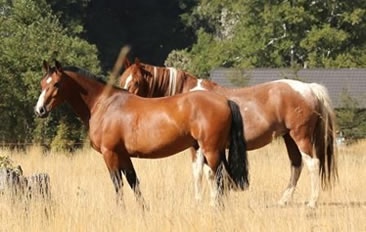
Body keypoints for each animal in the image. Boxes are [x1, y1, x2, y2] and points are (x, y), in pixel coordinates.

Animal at [33, 60, 249, 207]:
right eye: (43, 83)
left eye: (56, 84)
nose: (40, 110)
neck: (104, 104)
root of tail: (225, 100)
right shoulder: (123, 155)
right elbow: (133, 182)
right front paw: (143, 210)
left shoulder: (110, 153)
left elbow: (118, 184)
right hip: (216, 150)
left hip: (211, 151)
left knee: (219, 179)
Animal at [120, 59, 338, 208]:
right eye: (123, 78)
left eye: (136, 82)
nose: (124, 99)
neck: (188, 100)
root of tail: (309, 88)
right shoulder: (203, 147)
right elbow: (204, 173)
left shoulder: (200, 146)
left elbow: (204, 173)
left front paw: (206, 201)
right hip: (289, 138)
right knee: (296, 165)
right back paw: (284, 200)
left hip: (301, 136)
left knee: (313, 164)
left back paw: (312, 202)